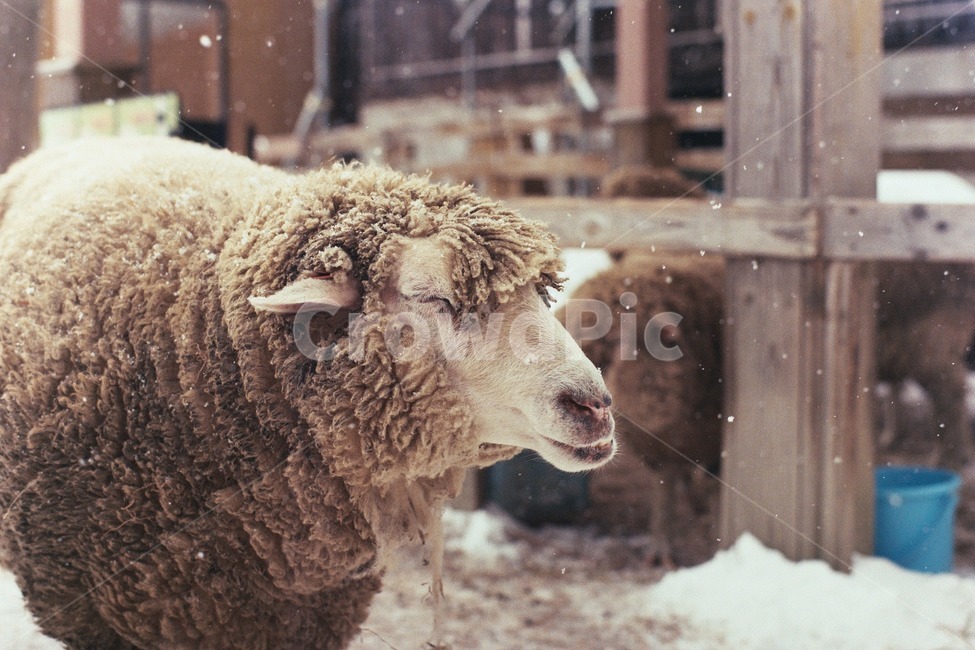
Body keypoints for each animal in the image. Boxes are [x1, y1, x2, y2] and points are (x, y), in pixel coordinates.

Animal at [561, 252, 724, 564]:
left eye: (619, 342)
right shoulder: (657, 448)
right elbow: (664, 490)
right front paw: (659, 554)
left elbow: (714, 489)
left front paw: (718, 545)